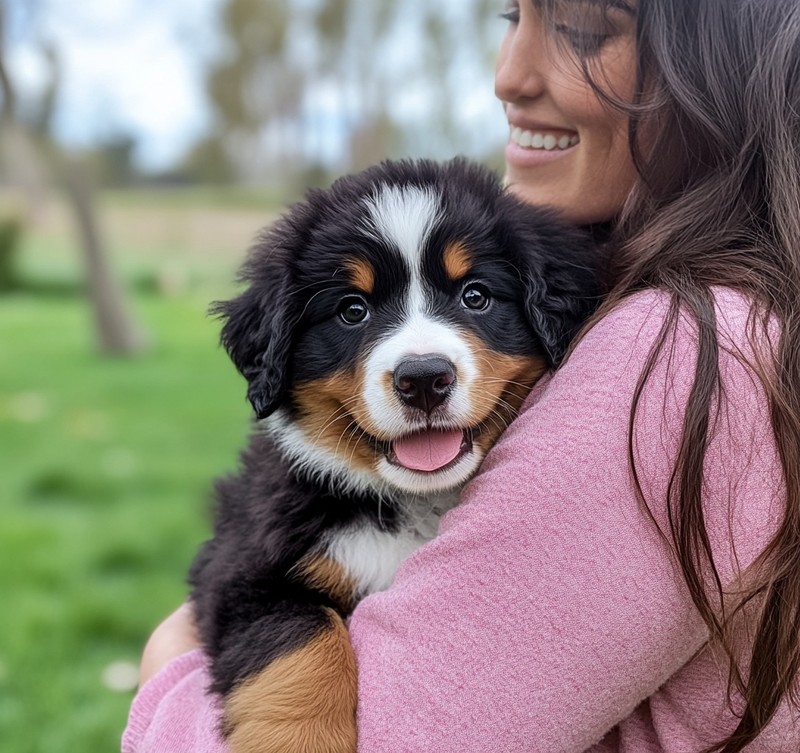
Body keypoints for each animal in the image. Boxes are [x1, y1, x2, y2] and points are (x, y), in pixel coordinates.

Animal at [188, 159, 600, 752]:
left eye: (476, 296)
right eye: (352, 310)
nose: (423, 378)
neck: (416, 502)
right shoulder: (238, 570)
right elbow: (301, 639)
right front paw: (301, 740)